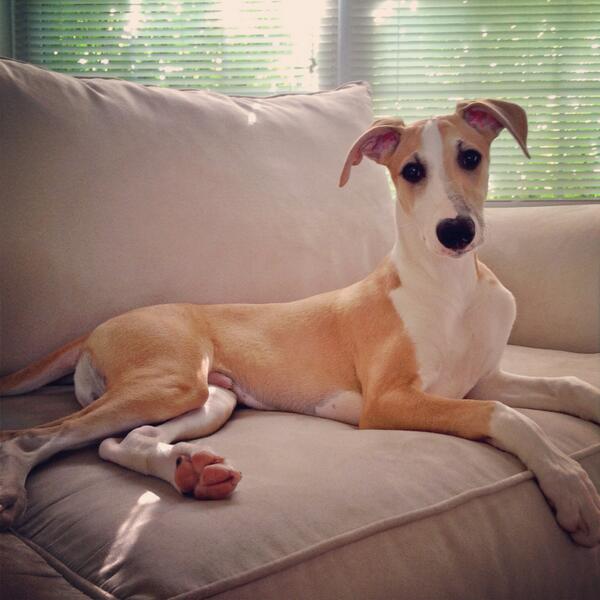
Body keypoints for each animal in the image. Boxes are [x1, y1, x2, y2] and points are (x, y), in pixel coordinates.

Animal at [1, 99, 599, 546]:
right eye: (411, 171)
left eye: (471, 156)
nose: (456, 232)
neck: (449, 287)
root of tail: (100, 325)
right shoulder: (391, 400)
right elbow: (504, 415)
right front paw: (569, 484)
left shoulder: (482, 379)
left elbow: (568, 384)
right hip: (172, 381)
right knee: (30, 437)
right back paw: (15, 491)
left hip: (213, 397)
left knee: (121, 442)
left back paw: (190, 474)